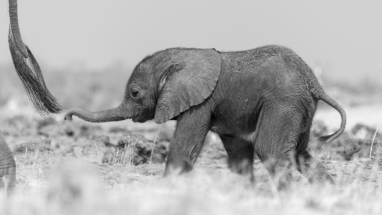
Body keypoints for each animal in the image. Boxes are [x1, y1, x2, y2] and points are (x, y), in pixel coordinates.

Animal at [65, 45, 346, 186]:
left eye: (135, 93)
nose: (66, 117)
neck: (181, 56)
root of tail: (314, 81)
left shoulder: (199, 102)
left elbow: (183, 150)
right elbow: (238, 154)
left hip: (285, 102)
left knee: (271, 151)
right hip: (301, 106)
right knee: (300, 154)